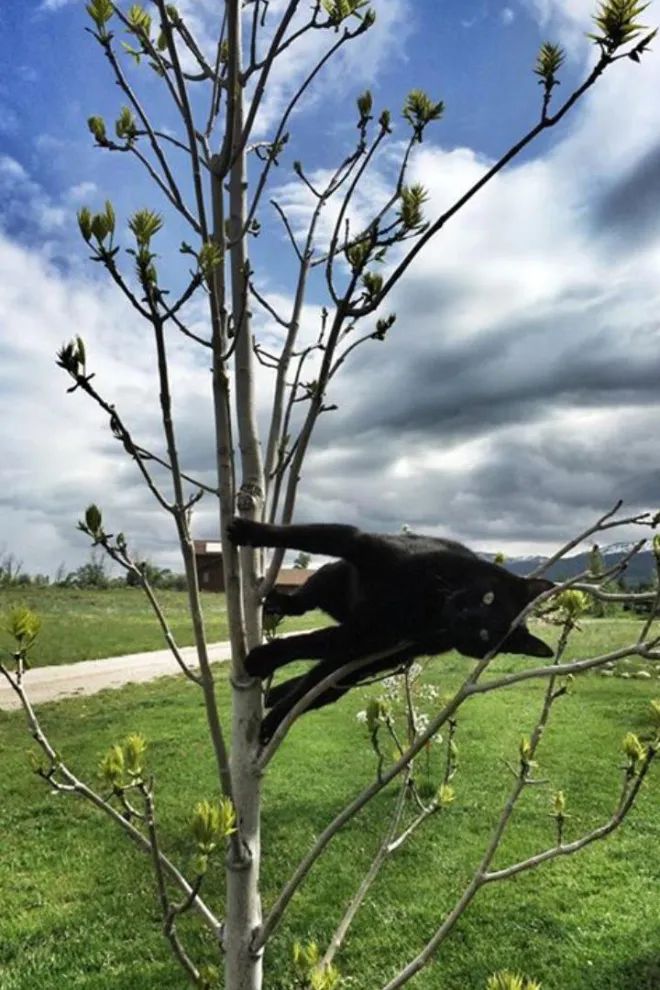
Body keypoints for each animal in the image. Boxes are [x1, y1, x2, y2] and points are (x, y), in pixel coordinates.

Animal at [229, 520, 556, 744]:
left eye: (485, 635)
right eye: (488, 597)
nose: (467, 617)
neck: (428, 601)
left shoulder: (371, 634)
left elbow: (308, 642)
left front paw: (263, 658)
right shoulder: (361, 545)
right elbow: (301, 535)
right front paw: (246, 530)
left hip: (358, 664)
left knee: (312, 687)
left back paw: (272, 717)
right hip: (334, 579)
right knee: (306, 598)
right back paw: (279, 603)